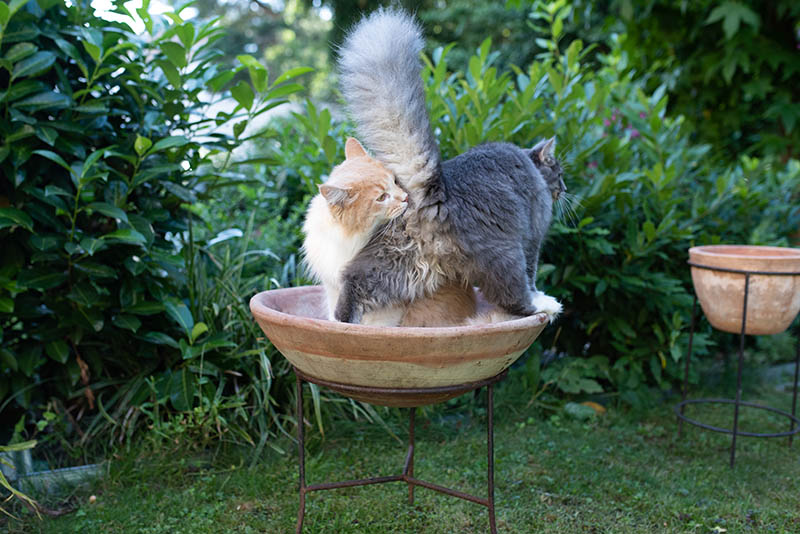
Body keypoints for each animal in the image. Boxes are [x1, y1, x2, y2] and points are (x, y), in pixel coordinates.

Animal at [332, 8, 564, 324]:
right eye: (560, 173)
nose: (564, 187)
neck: (527, 162)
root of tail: (433, 191)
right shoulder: (533, 238)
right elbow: (533, 274)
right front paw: (540, 295)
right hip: (506, 253)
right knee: (513, 296)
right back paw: (544, 307)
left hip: (395, 265)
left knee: (354, 282)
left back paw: (343, 325)